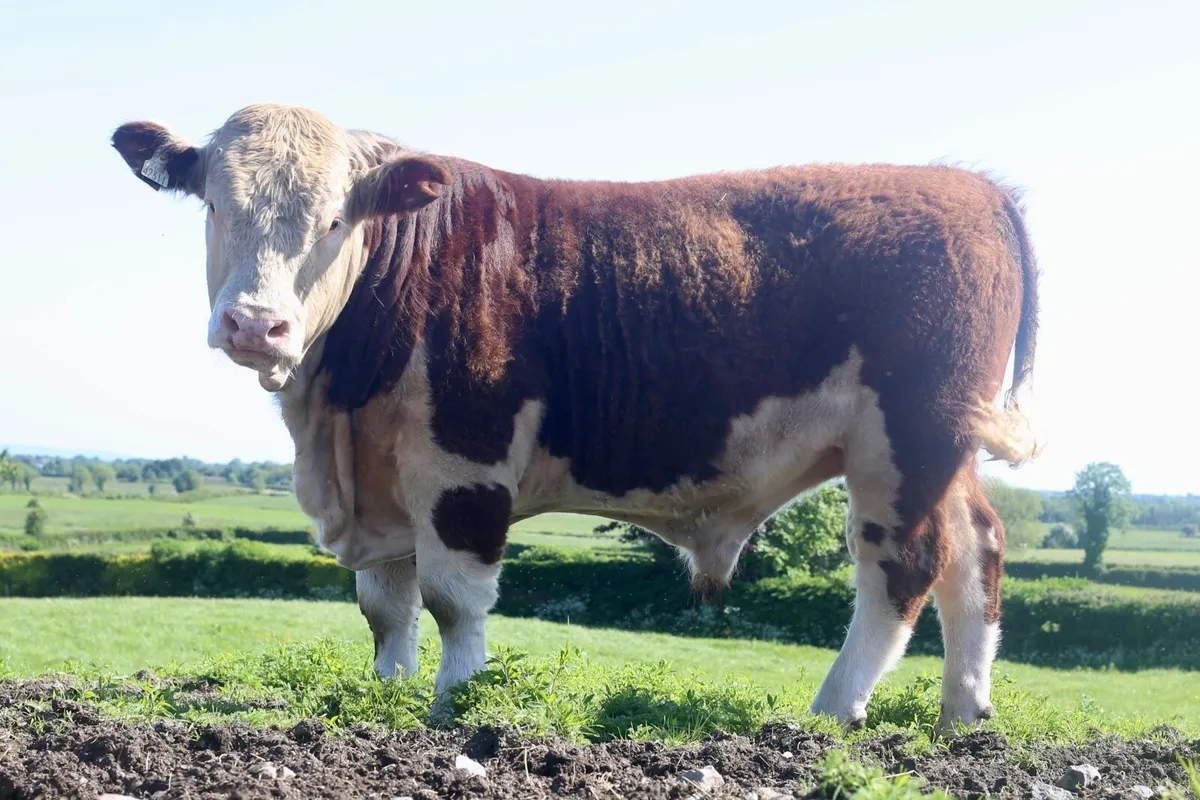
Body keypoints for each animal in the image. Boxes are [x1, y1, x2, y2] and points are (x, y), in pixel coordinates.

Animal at [110, 103, 1041, 733]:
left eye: (335, 218)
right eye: (215, 206)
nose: (255, 325)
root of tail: (968, 185)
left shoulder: (463, 461)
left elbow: (453, 597)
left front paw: (457, 701)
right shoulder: (381, 478)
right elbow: (386, 604)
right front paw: (387, 695)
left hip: (905, 439)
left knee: (903, 567)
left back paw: (831, 712)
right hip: (944, 448)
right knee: (977, 547)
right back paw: (963, 714)